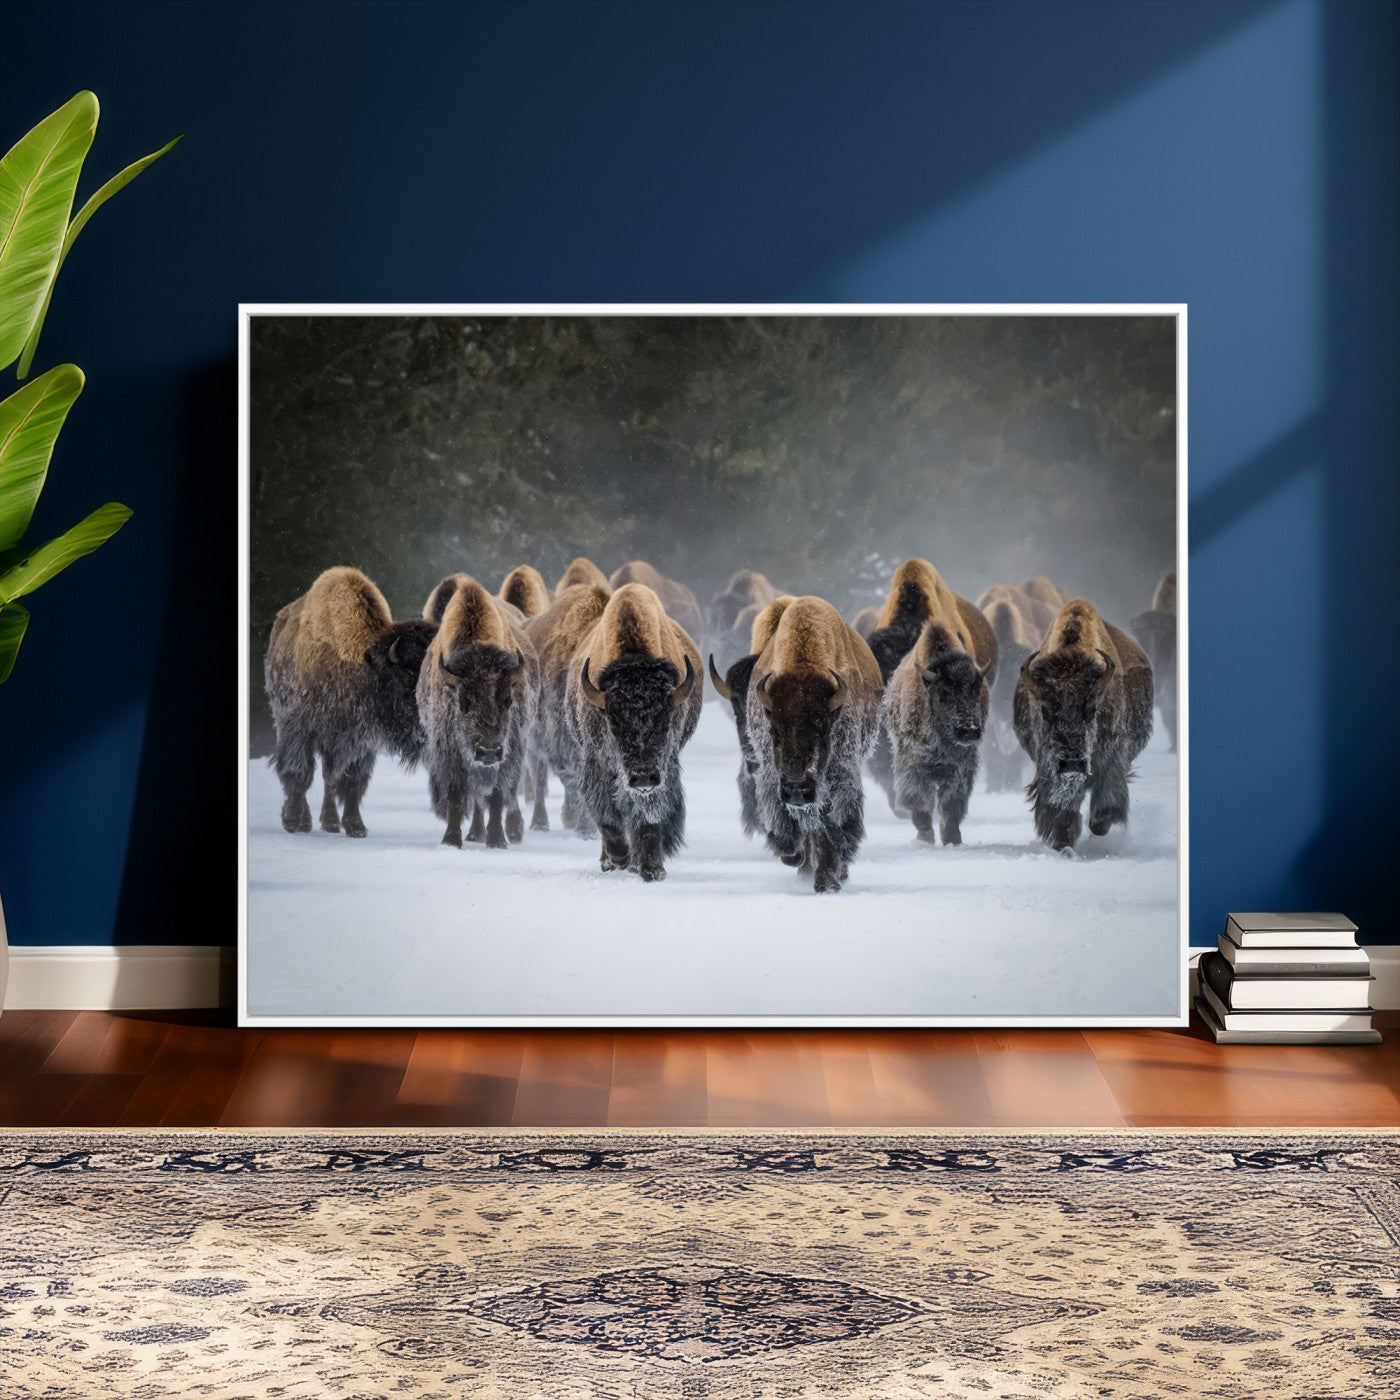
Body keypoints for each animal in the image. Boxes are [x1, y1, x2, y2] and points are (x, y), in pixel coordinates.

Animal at [265, 566, 436, 837]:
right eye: (408, 676)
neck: (365, 666)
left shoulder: (359, 741)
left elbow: (352, 780)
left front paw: (355, 826)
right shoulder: (300, 728)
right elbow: (299, 773)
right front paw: (292, 821)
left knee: (330, 778)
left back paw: (330, 822)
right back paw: (305, 821)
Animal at [568, 583, 702, 881]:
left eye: (665, 722)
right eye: (614, 724)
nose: (642, 778)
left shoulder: (663, 768)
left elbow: (649, 815)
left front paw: (652, 869)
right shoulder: (598, 763)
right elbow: (607, 815)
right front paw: (618, 858)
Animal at [747, 596, 883, 892]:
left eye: (824, 730)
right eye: (774, 730)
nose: (798, 789)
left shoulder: (837, 779)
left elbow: (830, 827)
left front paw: (827, 881)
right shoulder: (773, 777)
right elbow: (788, 823)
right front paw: (793, 856)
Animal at [1013, 598, 1154, 851]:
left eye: (1091, 710)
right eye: (1045, 711)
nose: (1071, 763)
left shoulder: (1112, 758)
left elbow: (1107, 799)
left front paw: (1098, 825)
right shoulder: (1049, 767)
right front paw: (1063, 843)